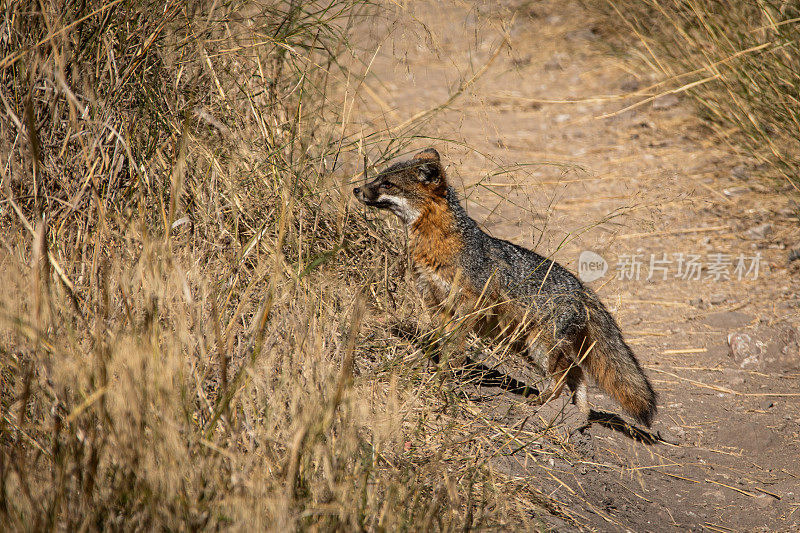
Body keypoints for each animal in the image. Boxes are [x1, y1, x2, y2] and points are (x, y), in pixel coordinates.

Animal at [352, 148, 656, 426]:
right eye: (378, 178)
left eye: (387, 184)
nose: (356, 189)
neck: (438, 243)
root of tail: (582, 289)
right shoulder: (434, 300)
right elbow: (441, 340)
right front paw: (436, 364)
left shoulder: (468, 305)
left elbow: (456, 346)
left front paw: (449, 373)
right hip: (527, 345)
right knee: (577, 372)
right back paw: (579, 414)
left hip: (538, 346)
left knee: (565, 374)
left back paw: (545, 404)